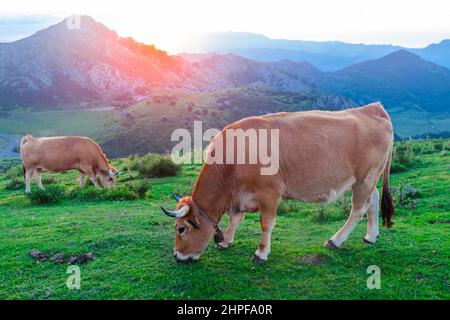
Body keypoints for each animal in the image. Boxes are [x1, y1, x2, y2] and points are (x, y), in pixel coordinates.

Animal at [161, 102, 394, 262]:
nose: (177, 256)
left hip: (365, 177)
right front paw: (226, 241)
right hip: (367, 178)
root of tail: (372, 109)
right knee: (373, 200)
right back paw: (371, 236)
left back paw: (336, 240)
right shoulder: (240, 195)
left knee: (358, 209)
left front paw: (261, 253)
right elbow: (235, 218)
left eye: (180, 229)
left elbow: (266, 223)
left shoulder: (269, 192)